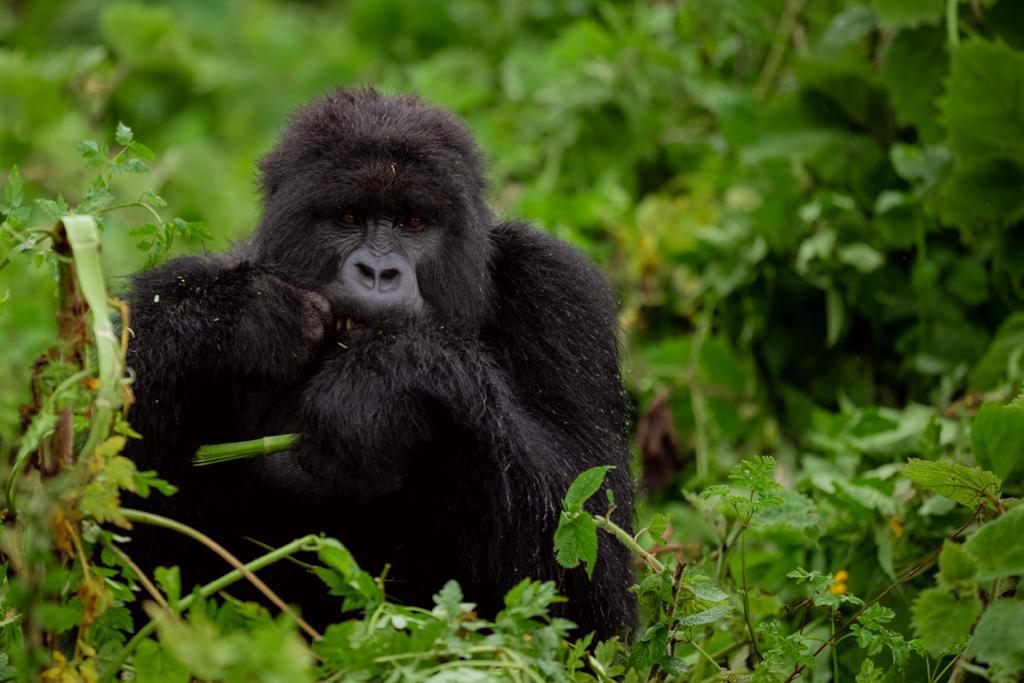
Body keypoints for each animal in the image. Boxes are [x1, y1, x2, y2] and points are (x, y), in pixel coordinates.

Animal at [123, 88, 634, 638]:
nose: (377, 271)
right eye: (348, 218)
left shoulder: (560, 292)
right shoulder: (168, 287)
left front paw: (388, 376)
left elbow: (590, 576)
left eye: (413, 223)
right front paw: (239, 316)